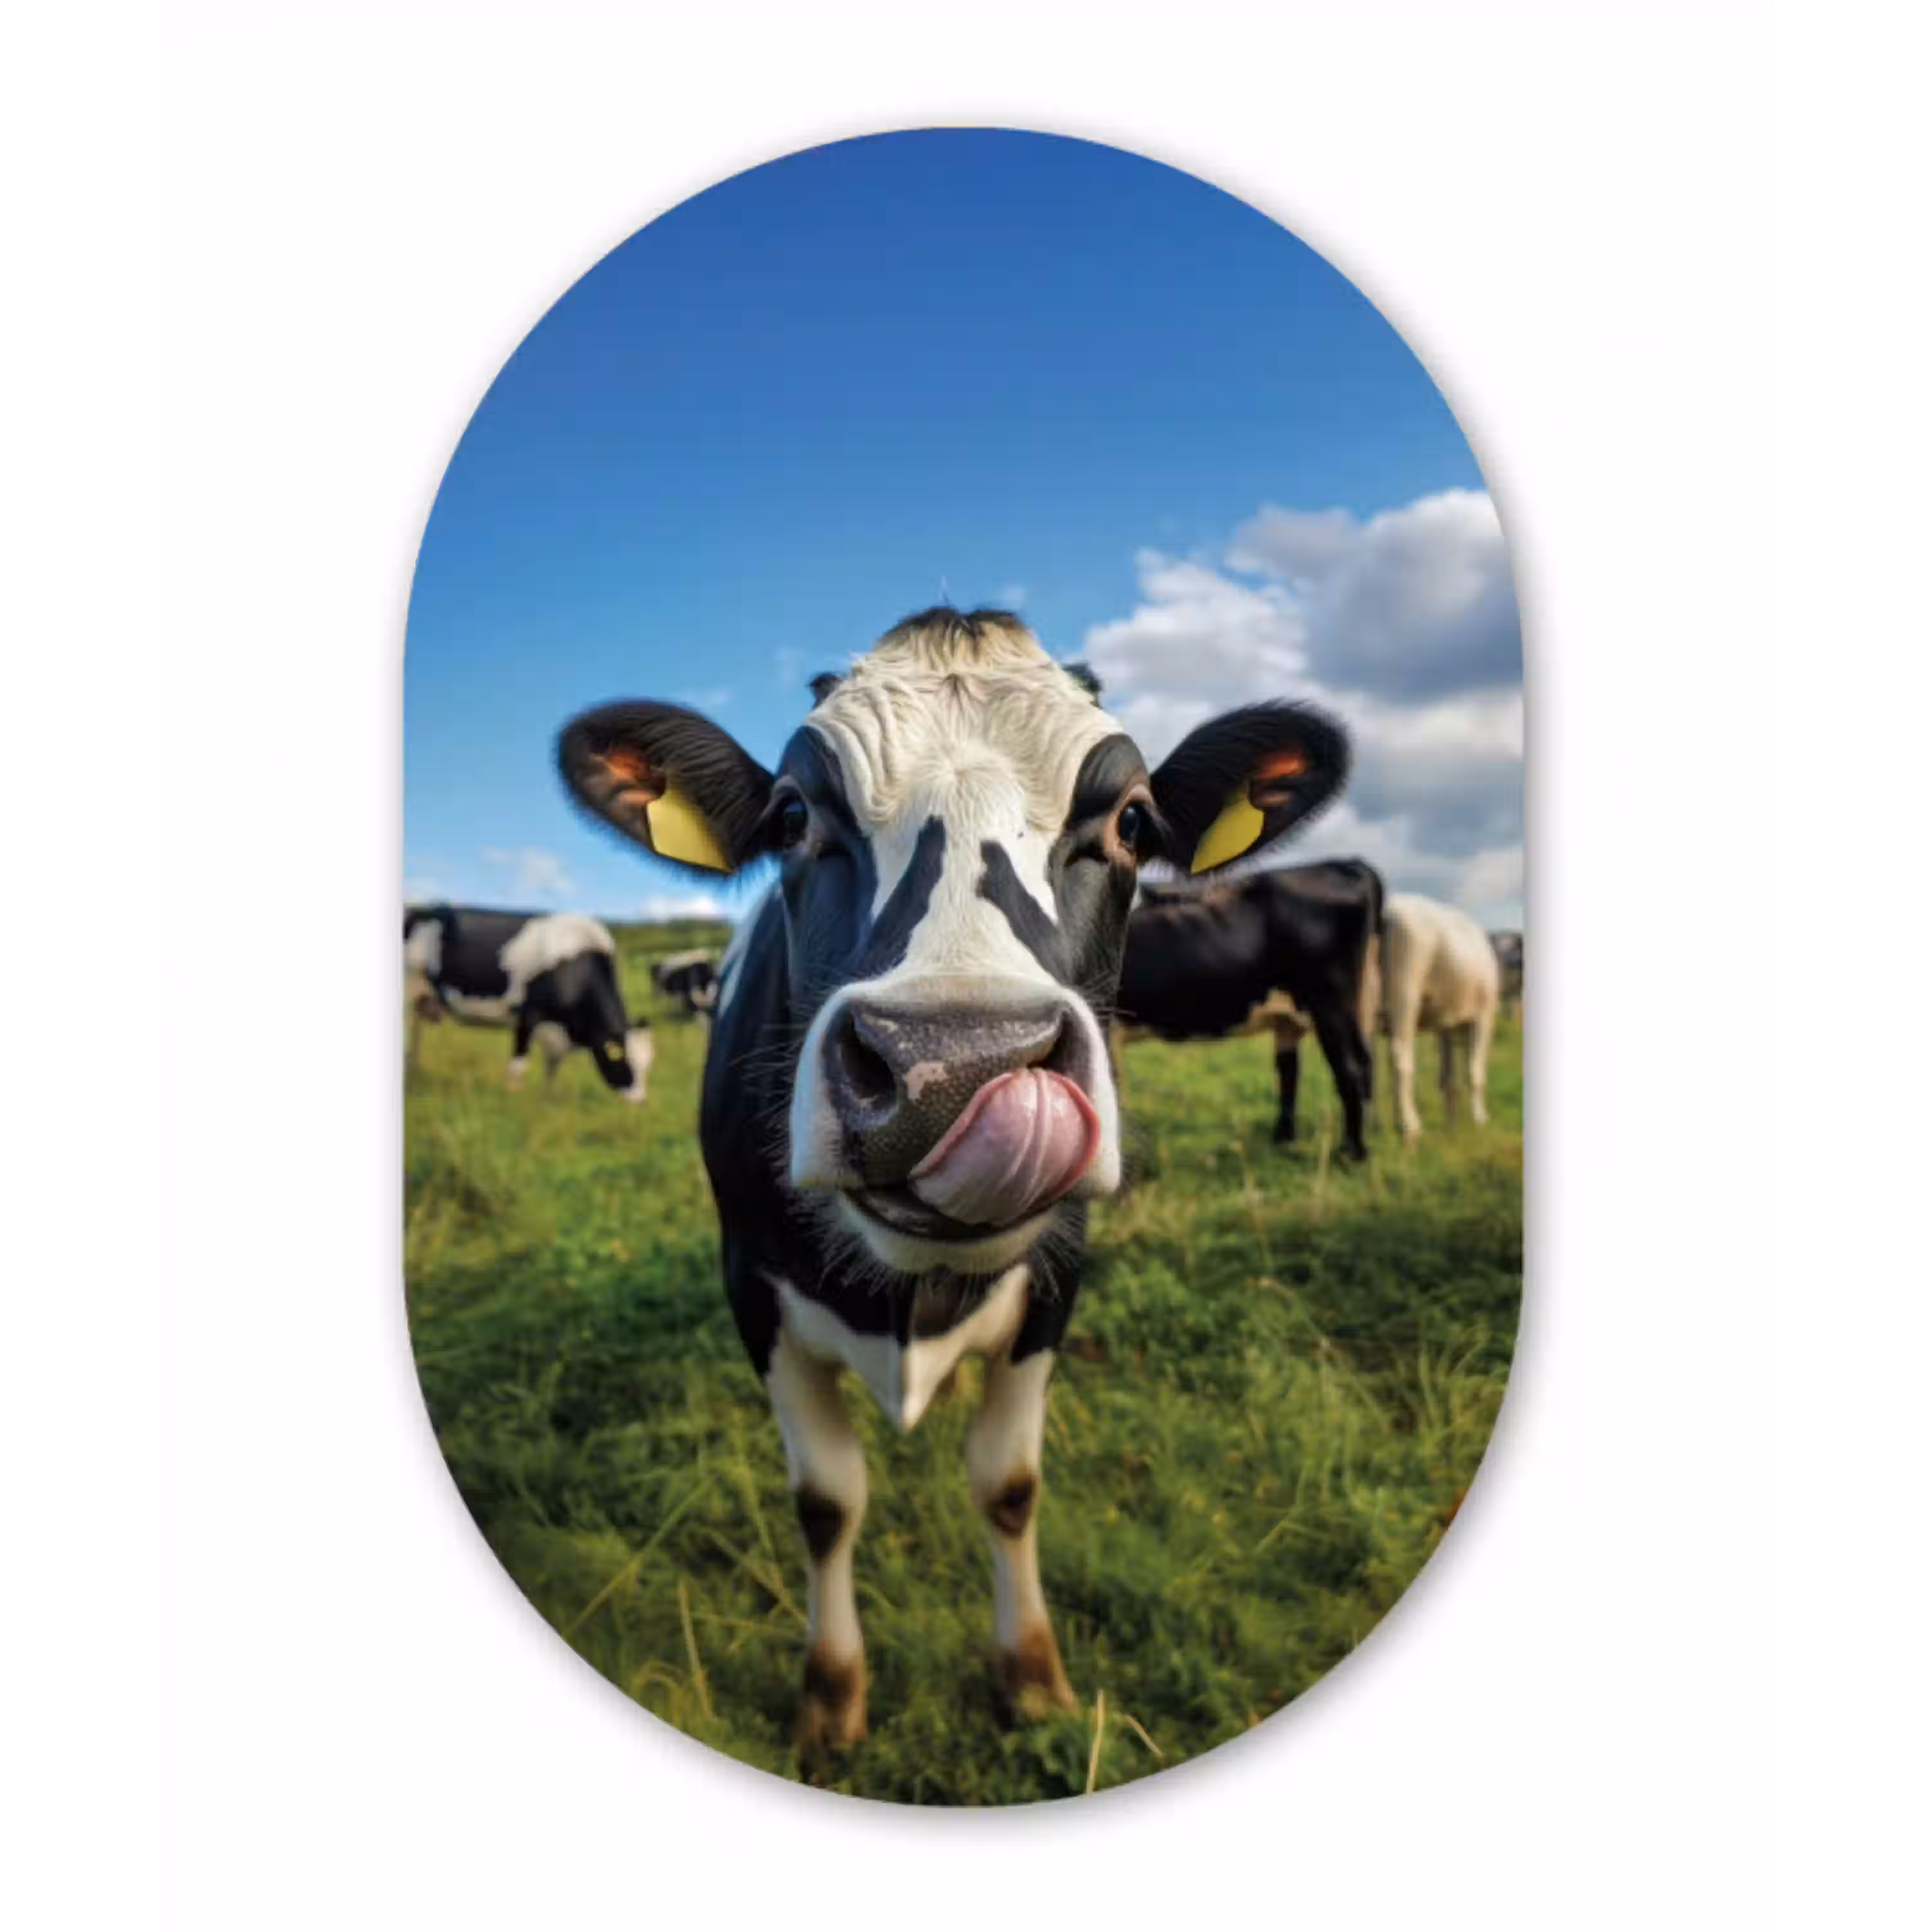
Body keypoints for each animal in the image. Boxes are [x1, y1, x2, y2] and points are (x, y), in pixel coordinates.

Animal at [403, 905, 655, 1103]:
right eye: (623, 1061)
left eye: (648, 1063)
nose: (640, 1101)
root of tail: (425, 910)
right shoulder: (527, 1015)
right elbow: (519, 1065)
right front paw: (512, 1099)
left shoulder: (557, 1032)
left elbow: (552, 1067)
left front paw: (547, 1099)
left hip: (424, 997)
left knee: (417, 1031)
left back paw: (415, 1070)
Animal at [556, 606, 1350, 1753]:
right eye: (792, 817)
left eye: (1135, 823)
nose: (952, 1068)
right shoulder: (751, 1285)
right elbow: (827, 1499)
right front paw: (832, 1696)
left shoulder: (1058, 1281)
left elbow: (1008, 1485)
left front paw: (1032, 1677)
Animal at [1112, 860, 1384, 1161]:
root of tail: (1348, 864)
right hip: (1339, 1008)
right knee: (1321, 1065)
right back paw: (1289, 1140)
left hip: (1330, 1003)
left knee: (1350, 1069)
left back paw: (1352, 1153)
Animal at [1379, 893, 1502, 1140]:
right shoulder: (1484, 1017)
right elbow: (1475, 1071)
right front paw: (1479, 1119)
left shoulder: (1445, 1024)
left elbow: (1448, 1075)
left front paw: (1451, 1123)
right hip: (1405, 991)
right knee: (1400, 1055)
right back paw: (1409, 1125)